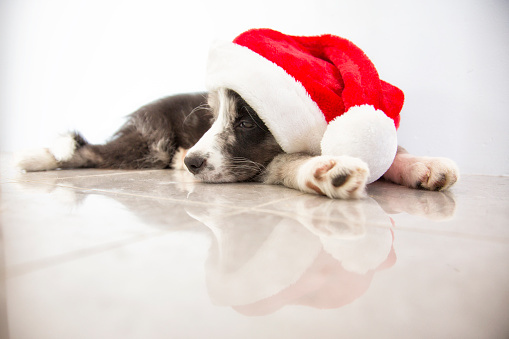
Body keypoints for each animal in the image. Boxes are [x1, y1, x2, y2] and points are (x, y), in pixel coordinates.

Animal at [17, 90, 458, 201]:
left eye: (245, 122)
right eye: (215, 119)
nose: (194, 162)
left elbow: (395, 153)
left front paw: (424, 166)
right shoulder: (263, 163)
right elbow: (290, 160)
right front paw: (326, 171)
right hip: (151, 143)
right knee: (87, 150)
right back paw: (32, 157)